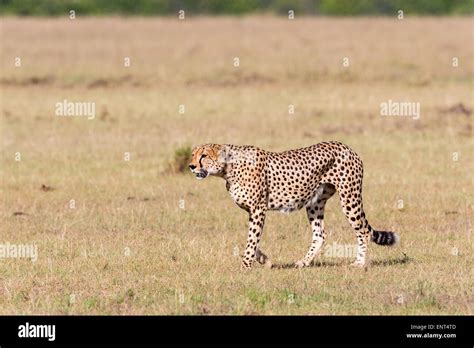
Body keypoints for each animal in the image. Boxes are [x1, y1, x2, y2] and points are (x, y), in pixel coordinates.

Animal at [187, 141, 398, 270]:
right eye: (193, 155)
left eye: (204, 156)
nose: (191, 166)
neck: (228, 169)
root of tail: (346, 146)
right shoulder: (252, 210)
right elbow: (253, 239)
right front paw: (264, 260)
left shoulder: (258, 209)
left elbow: (252, 239)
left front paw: (245, 265)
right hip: (315, 202)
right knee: (320, 234)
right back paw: (303, 262)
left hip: (349, 197)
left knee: (363, 230)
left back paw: (359, 263)